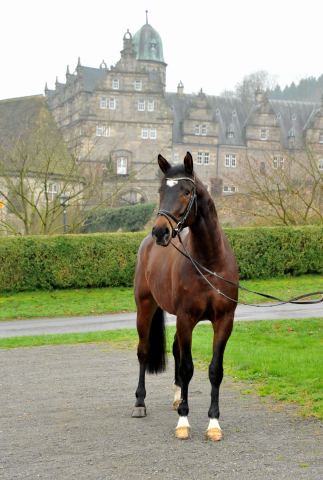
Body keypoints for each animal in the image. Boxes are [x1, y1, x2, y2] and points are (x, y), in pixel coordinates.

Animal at [132, 152, 240, 440]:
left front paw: (213, 424)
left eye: (186, 191)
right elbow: (187, 368)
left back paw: (177, 397)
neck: (210, 263)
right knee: (144, 351)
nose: (160, 232)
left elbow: (215, 370)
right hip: (145, 307)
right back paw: (140, 403)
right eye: (160, 190)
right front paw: (183, 421)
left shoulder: (224, 321)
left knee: (176, 349)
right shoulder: (185, 318)